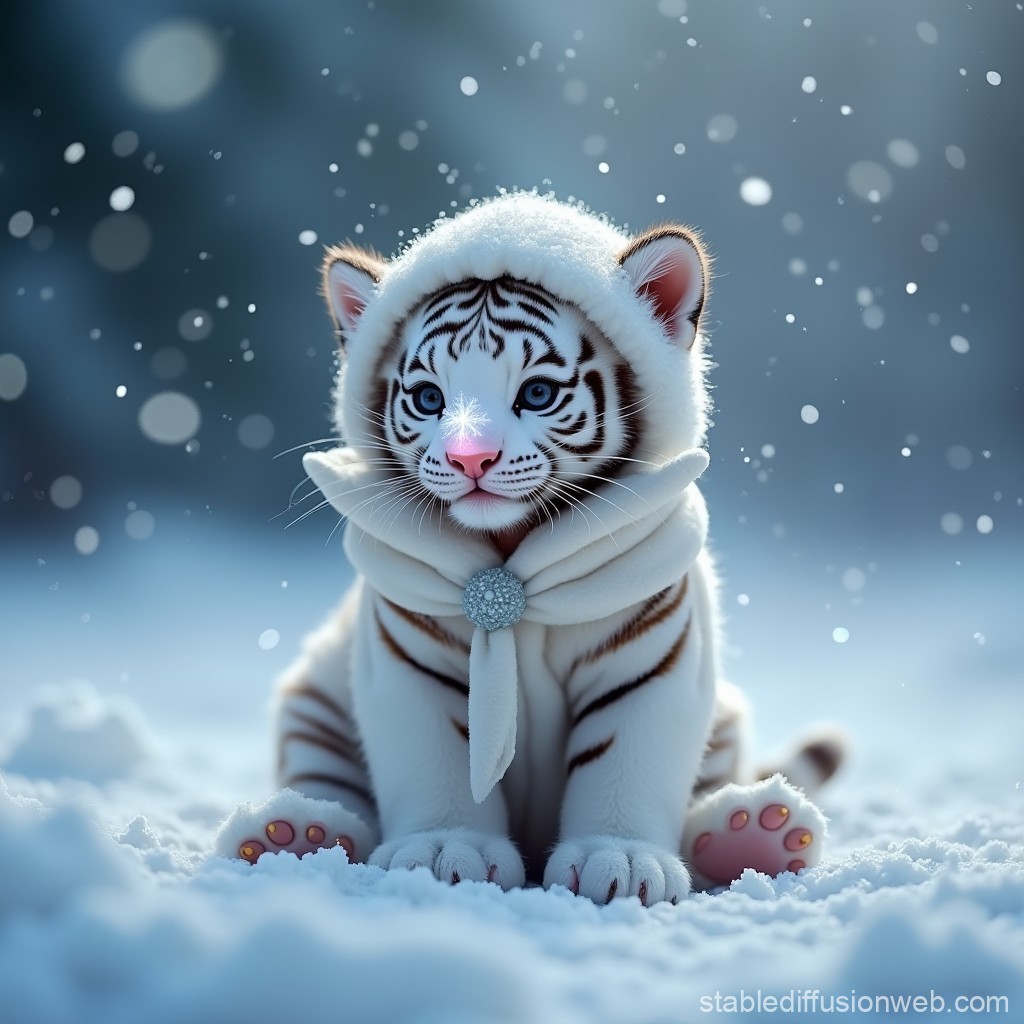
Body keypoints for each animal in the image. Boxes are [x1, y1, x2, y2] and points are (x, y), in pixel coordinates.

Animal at [214, 193, 843, 904]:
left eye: (536, 393)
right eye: (429, 398)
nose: (470, 458)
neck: (513, 557)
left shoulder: (651, 657)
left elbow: (624, 760)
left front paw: (621, 860)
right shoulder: (409, 656)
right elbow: (437, 760)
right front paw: (445, 849)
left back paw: (755, 833)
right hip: (312, 699)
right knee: (323, 779)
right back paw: (291, 834)